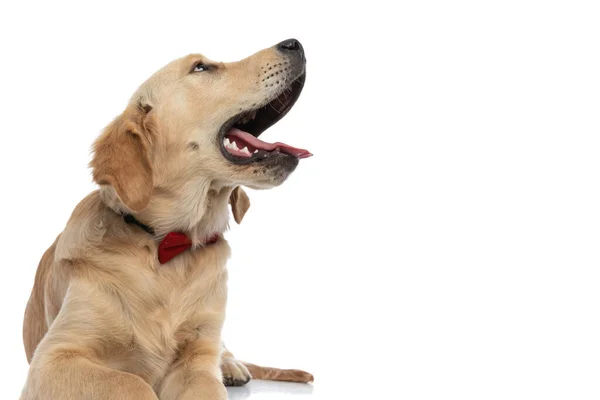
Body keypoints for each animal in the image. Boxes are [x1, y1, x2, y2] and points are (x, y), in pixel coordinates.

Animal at [22, 38, 314, 400]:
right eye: (201, 67)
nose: (294, 43)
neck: (167, 241)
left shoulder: (197, 360)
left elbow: (207, 382)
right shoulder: (54, 357)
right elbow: (132, 381)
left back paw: (232, 366)